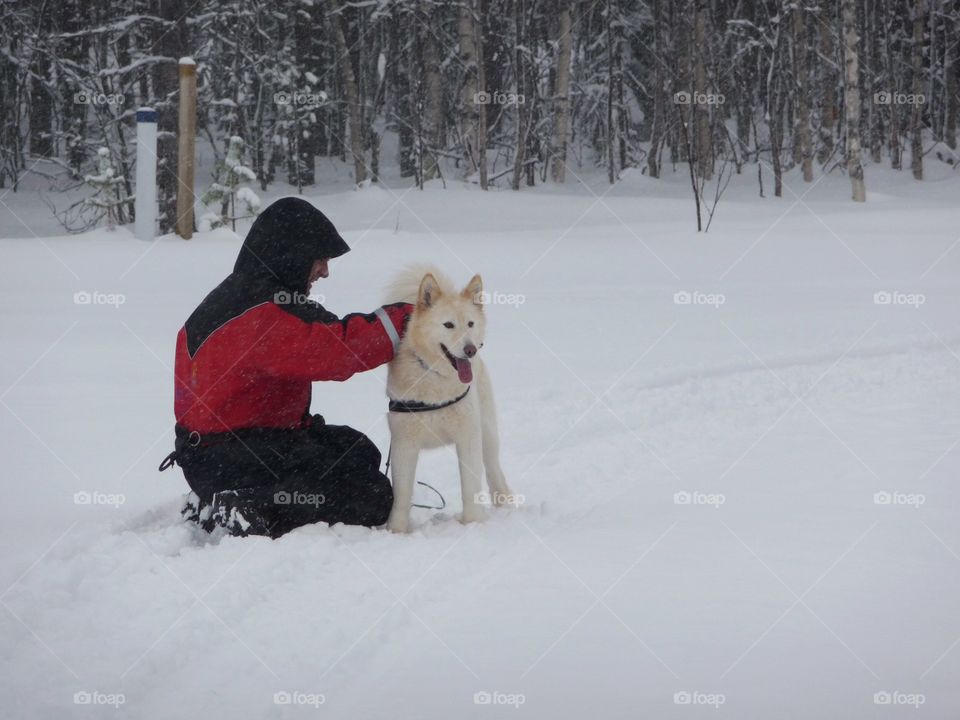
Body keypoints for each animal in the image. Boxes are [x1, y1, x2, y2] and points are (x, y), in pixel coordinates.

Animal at [382, 268, 512, 532]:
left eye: (470, 323)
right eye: (449, 325)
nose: (471, 350)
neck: (436, 378)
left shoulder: (468, 437)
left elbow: (470, 487)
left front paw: (472, 523)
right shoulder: (403, 443)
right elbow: (402, 493)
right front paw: (396, 531)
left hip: (486, 432)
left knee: (493, 467)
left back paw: (504, 501)